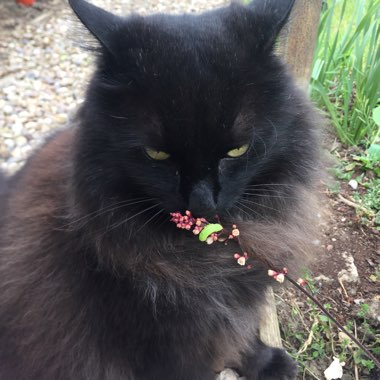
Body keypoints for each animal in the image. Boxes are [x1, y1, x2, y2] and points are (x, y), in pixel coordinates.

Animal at [0, 0, 320, 378]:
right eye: (157, 155)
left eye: (237, 151)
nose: (201, 202)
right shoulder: (166, 347)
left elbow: (239, 339)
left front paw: (266, 361)